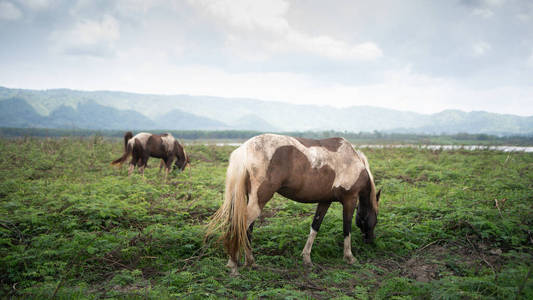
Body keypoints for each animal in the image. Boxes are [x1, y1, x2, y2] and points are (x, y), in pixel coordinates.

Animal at [206, 134, 380, 274]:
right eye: (375, 219)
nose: (370, 241)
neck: (354, 161)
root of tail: (245, 149)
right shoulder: (350, 200)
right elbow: (346, 228)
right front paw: (349, 257)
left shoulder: (325, 201)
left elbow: (315, 227)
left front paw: (307, 259)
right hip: (259, 200)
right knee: (240, 226)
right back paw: (233, 266)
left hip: (251, 200)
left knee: (246, 228)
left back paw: (250, 263)